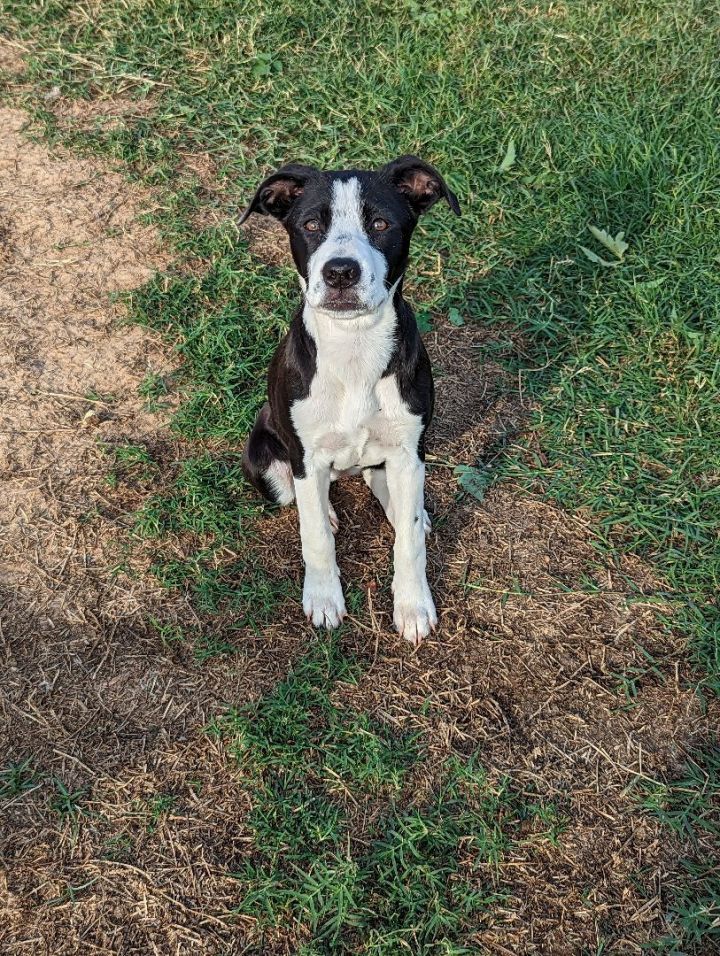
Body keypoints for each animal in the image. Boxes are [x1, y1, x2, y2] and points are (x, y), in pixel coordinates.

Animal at [239, 155, 458, 644]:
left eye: (380, 223)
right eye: (311, 224)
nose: (340, 271)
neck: (354, 345)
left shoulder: (410, 449)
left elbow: (409, 542)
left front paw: (413, 606)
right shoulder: (305, 456)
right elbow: (316, 536)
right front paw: (323, 598)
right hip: (266, 461)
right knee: (303, 500)